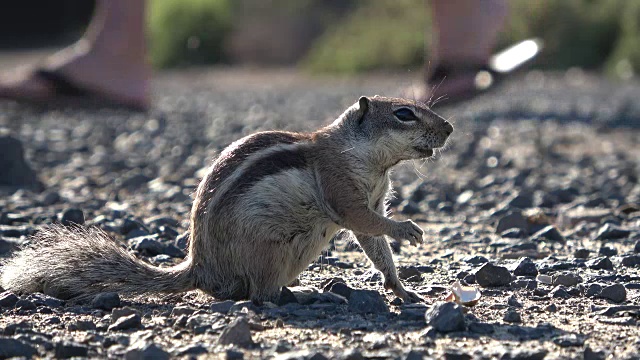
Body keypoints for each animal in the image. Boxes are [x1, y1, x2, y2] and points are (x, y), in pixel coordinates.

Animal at [0, 95, 452, 304]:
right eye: (403, 114)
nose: (449, 128)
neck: (374, 163)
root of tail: (201, 270)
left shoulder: (374, 200)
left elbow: (374, 243)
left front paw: (403, 289)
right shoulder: (341, 187)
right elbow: (364, 221)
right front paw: (408, 229)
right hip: (269, 249)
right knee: (261, 294)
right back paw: (312, 294)